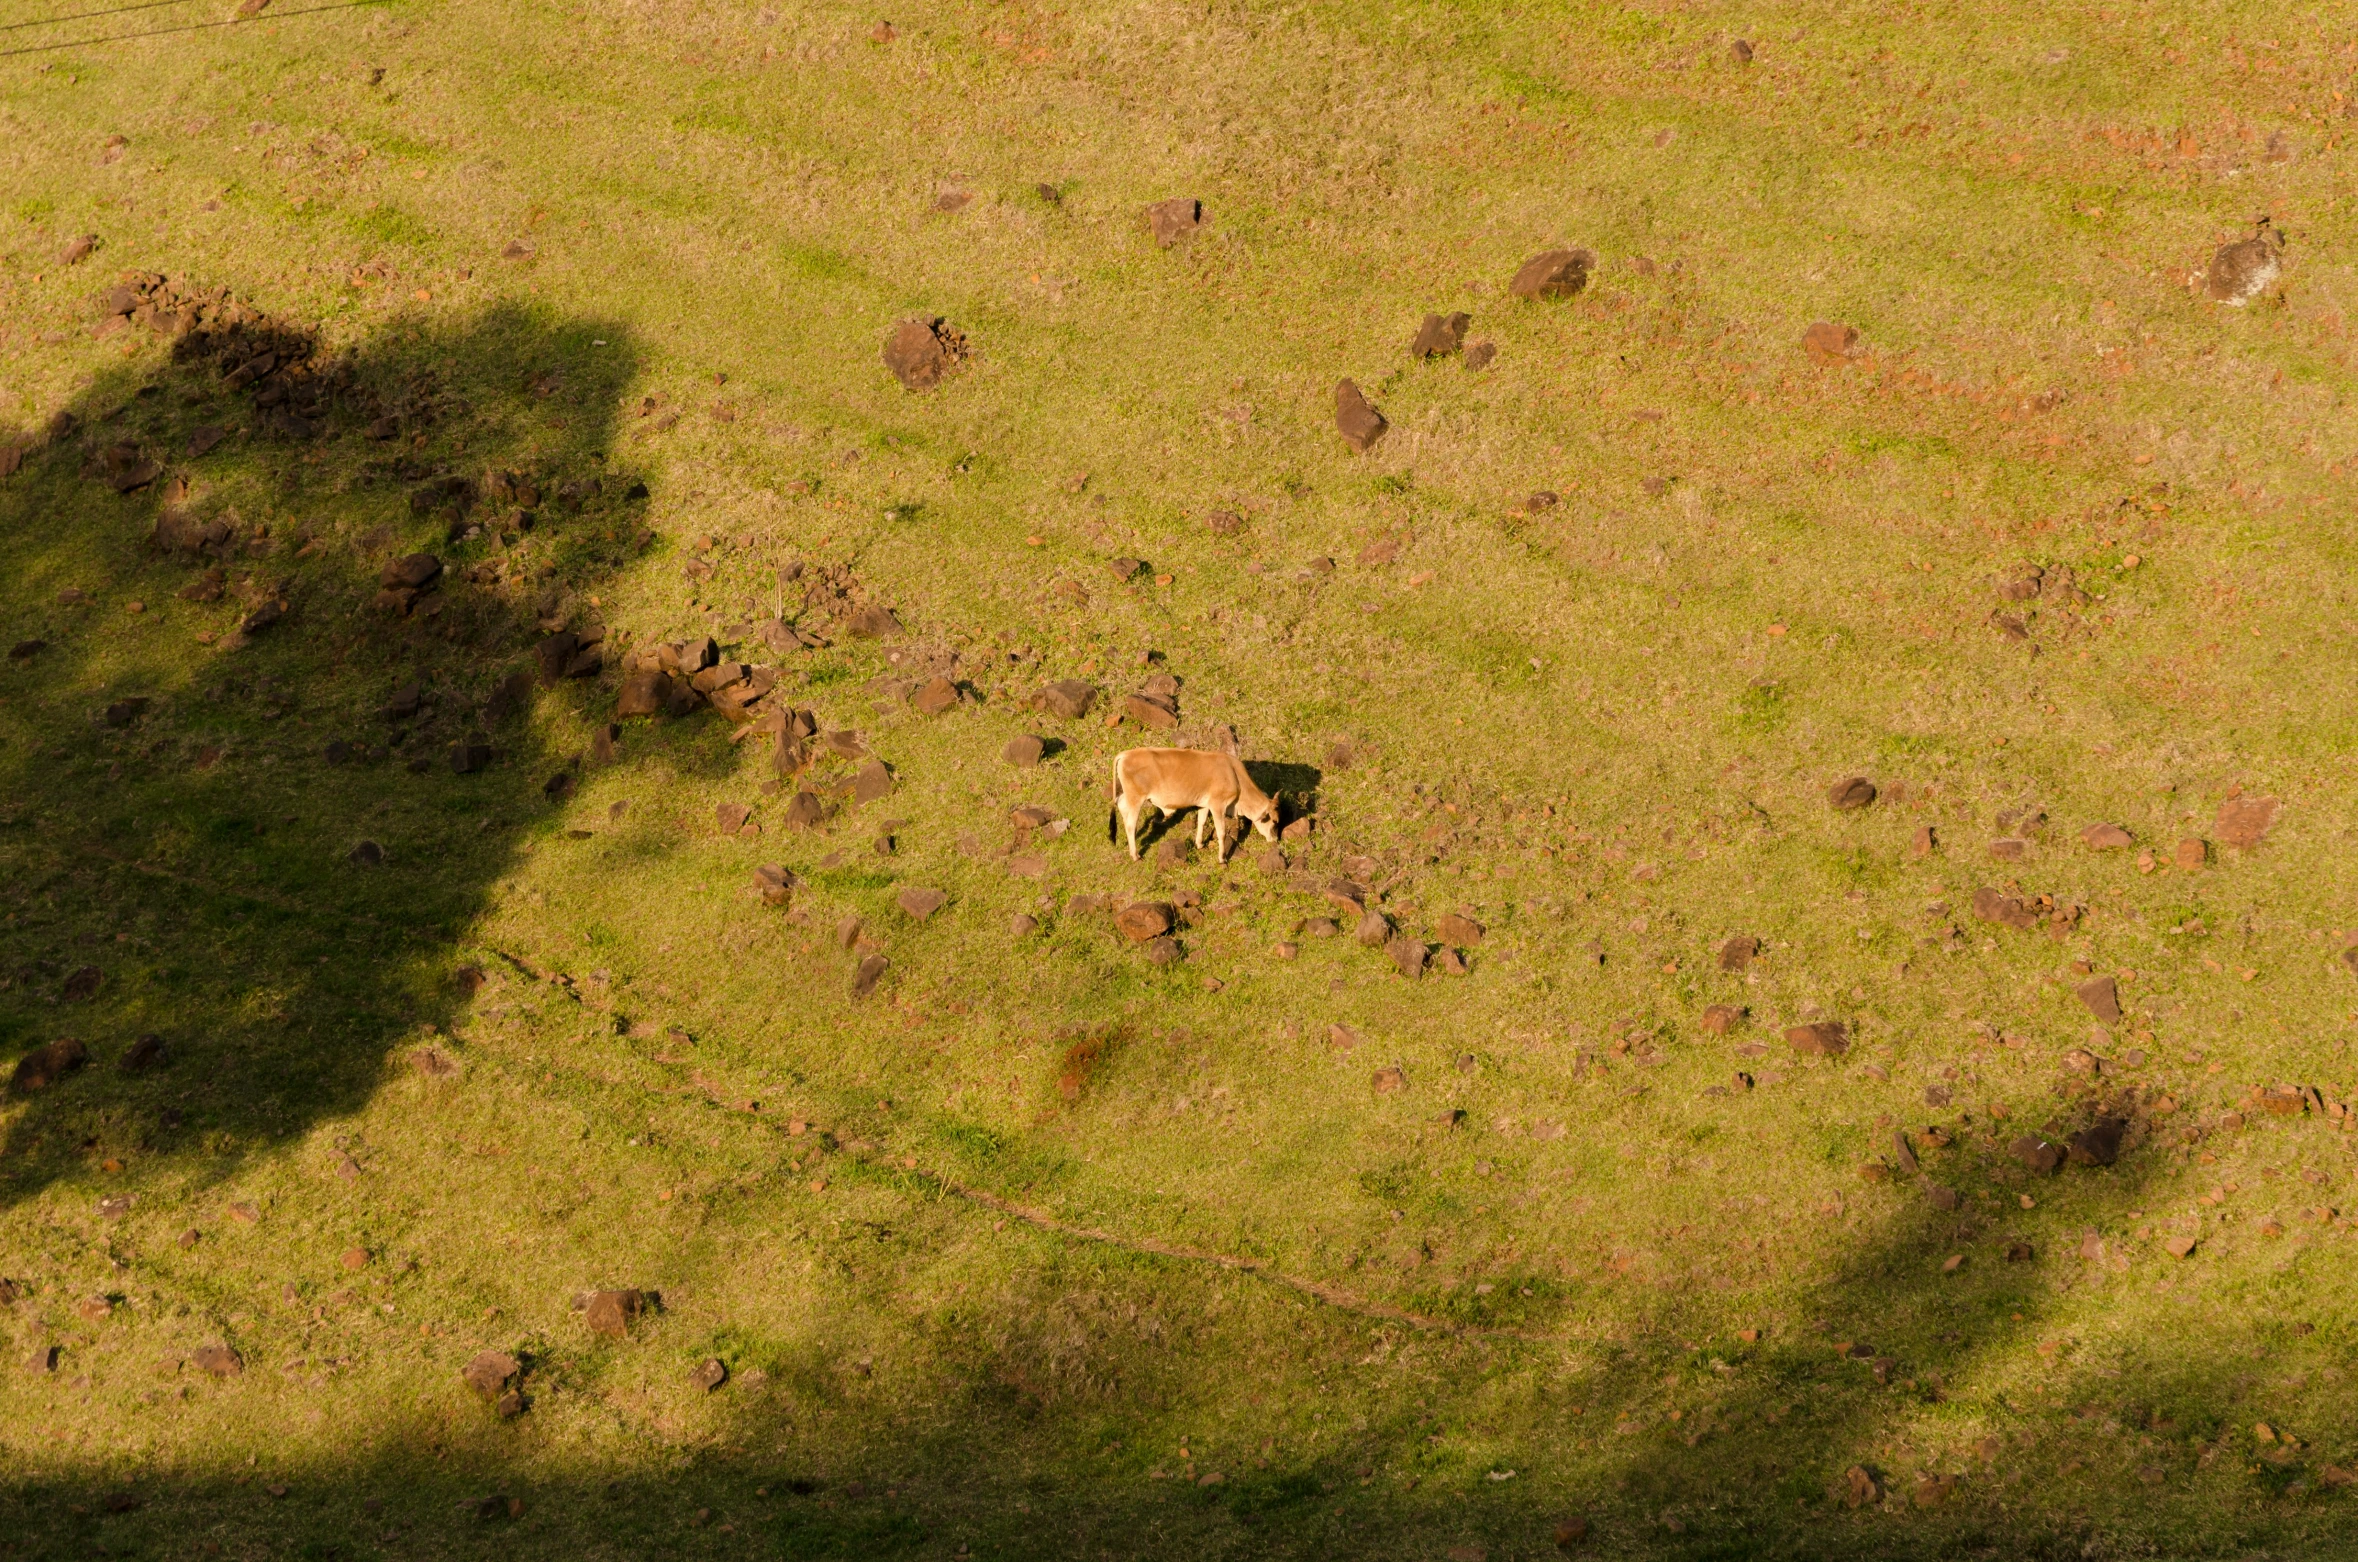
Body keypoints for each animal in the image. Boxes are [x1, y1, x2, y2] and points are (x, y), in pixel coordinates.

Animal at [1108, 750, 1282, 863]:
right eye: (1274, 822)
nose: (1275, 840)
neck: (1235, 776)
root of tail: (1125, 754)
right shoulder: (1218, 804)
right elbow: (1221, 832)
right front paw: (1222, 858)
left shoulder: (1204, 804)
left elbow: (1201, 822)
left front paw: (1199, 844)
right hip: (1136, 799)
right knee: (1131, 825)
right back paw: (1135, 855)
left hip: (1129, 797)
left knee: (1121, 804)